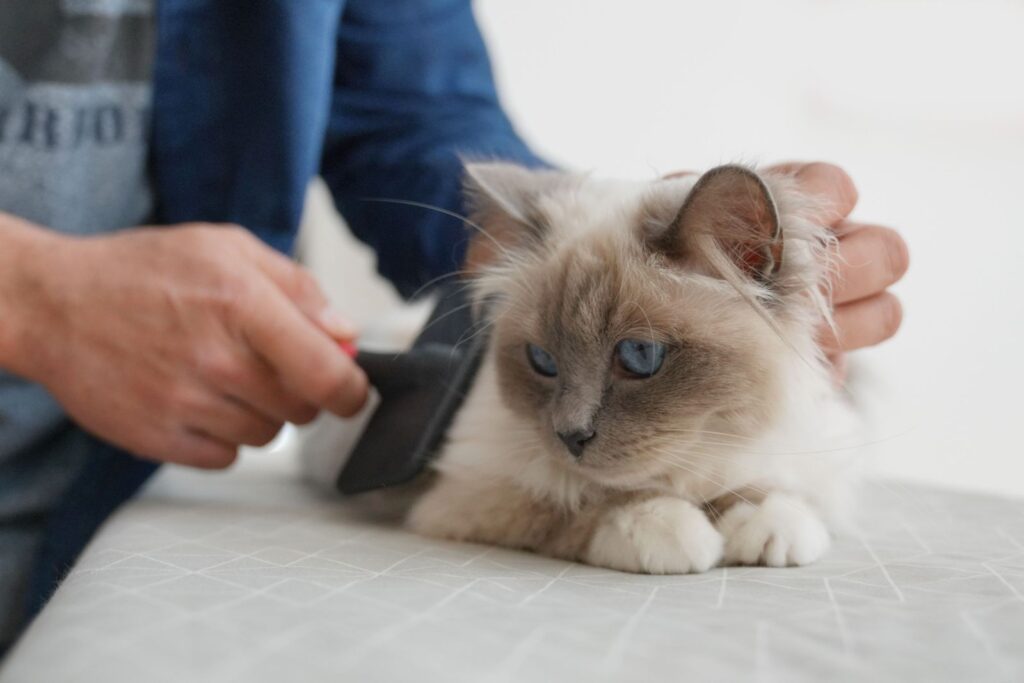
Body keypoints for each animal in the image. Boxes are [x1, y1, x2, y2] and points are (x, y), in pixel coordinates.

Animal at [403, 162, 860, 573]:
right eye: (542, 361)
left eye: (640, 355)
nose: (571, 436)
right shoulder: (466, 491)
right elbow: (574, 500)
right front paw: (665, 527)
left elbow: (759, 486)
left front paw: (768, 525)